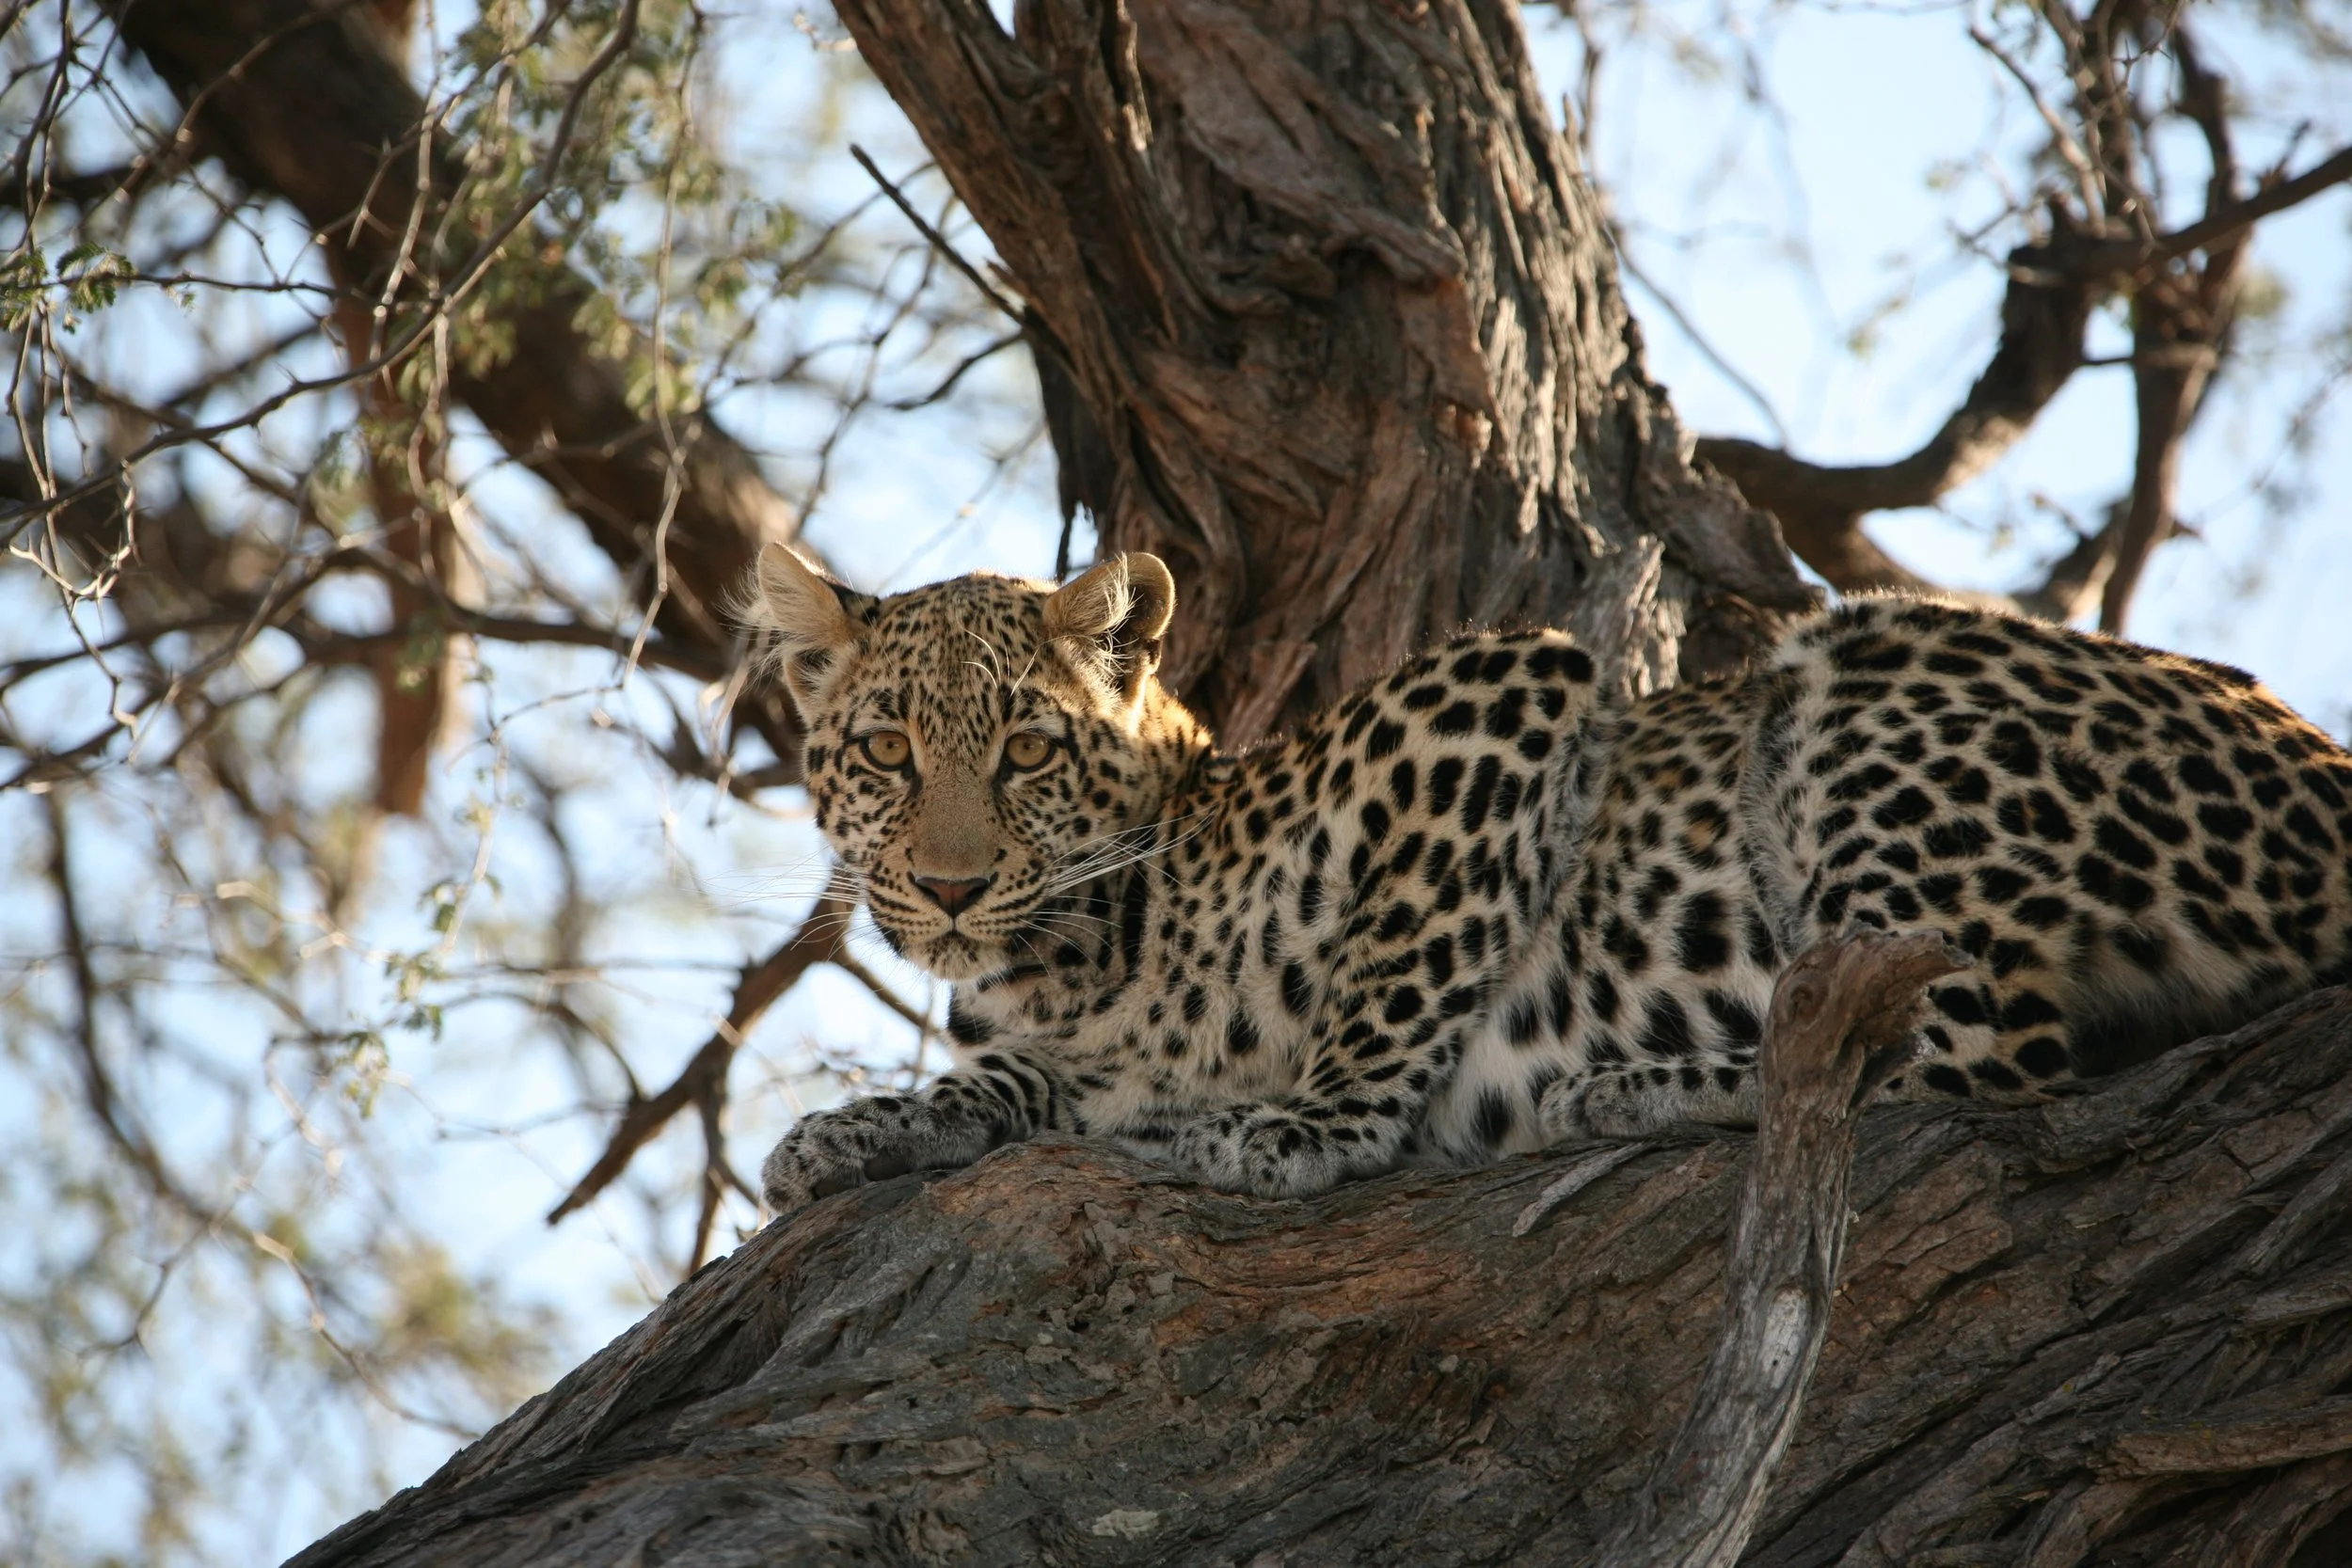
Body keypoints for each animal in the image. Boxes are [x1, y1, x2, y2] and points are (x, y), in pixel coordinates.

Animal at [750, 543, 2352, 1212]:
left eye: (1027, 747)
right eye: (887, 749)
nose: (954, 887)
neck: (1081, 957)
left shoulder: (1500, 690)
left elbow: (1391, 971)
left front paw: (1293, 1130)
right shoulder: (1068, 1057)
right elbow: (1005, 1086)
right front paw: (850, 1129)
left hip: (1860, 673)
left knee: (1971, 1062)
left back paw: (1629, 1086)